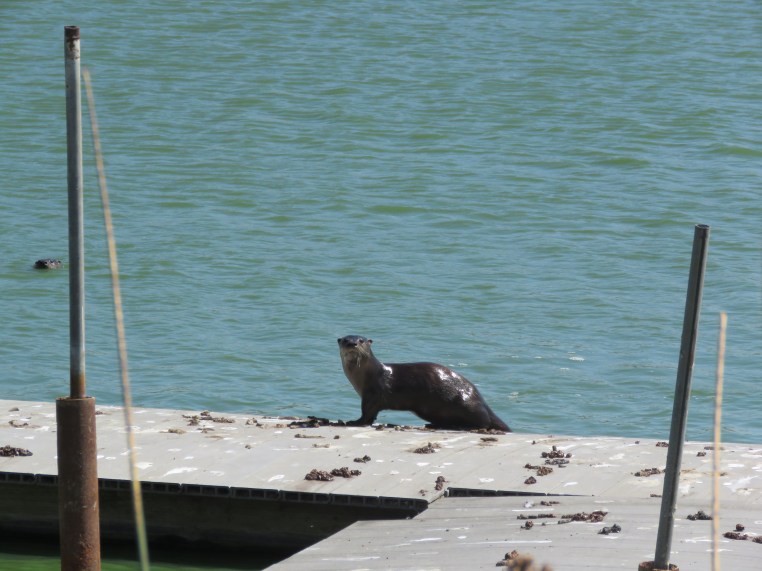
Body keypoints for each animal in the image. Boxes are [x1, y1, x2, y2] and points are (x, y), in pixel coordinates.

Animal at [337, 335, 511, 431]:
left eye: (361, 340)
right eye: (345, 340)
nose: (352, 344)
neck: (367, 375)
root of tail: (481, 400)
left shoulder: (373, 394)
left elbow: (367, 414)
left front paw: (354, 422)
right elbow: (371, 416)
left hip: (467, 405)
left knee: (484, 422)